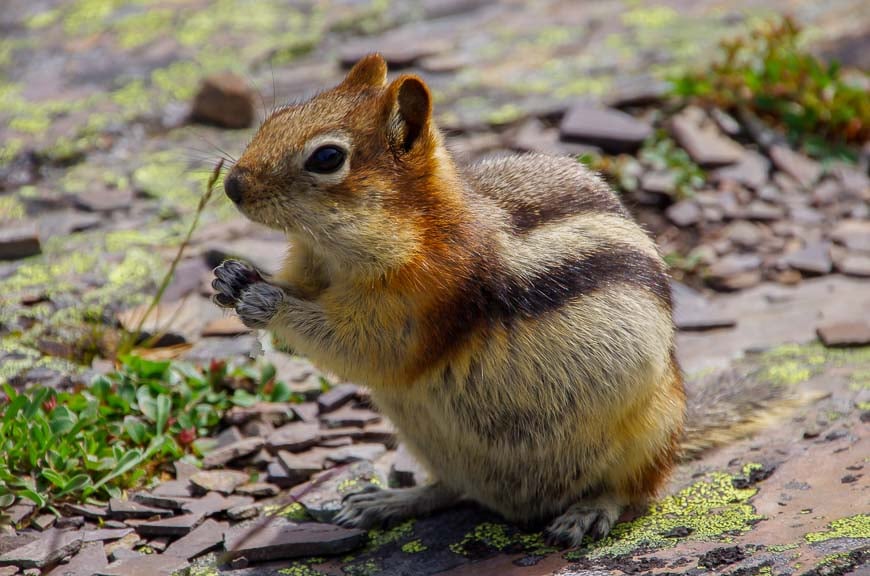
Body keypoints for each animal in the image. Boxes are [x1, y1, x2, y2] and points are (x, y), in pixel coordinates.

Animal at [213, 56, 792, 548]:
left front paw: (267, 300)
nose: (232, 186)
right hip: (435, 441)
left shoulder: (427, 299)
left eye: (327, 158)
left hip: (649, 433)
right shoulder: (311, 268)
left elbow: (368, 350)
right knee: (451, 488)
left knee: (634, 490)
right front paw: (231, 277)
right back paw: (387, 500)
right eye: (278, 116)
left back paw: (588, 511)